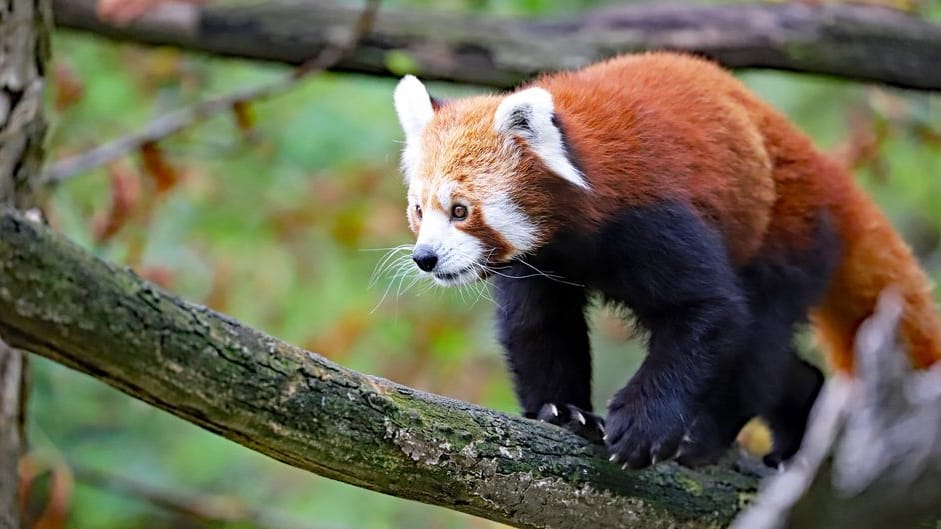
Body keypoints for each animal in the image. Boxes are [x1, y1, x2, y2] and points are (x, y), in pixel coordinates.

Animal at [390, 52, 940, 466]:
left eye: (460, 210)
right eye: (418, 210)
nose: (425, 258)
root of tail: (827, 171)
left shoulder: (653, 215)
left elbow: (711, 312)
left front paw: (644, 424)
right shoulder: (539, 263)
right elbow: (538, 326)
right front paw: (562, 411)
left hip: (785, 236)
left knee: (757, 340)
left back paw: (707, 435)